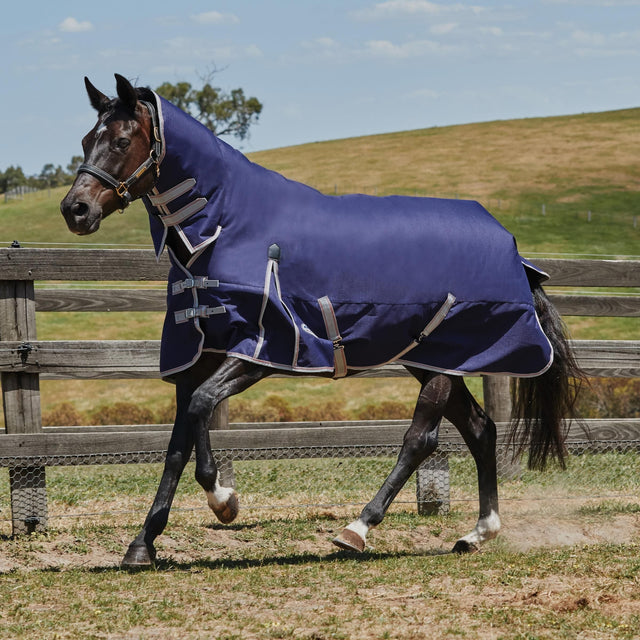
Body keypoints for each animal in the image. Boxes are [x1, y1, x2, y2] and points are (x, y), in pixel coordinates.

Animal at [61, 72, 584, 568]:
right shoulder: (197, 356)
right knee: (480, 429)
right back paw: (477, 533)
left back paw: (358, 529)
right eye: (86, 139)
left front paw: (224, 501)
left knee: (422, 438)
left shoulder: (262, 349)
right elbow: (177, 443)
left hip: (444, 360)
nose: (75, 210)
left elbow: (201, 411)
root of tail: (512, 248)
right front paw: (142, 544)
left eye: (121, 141)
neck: (224, 228)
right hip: (432, 359)